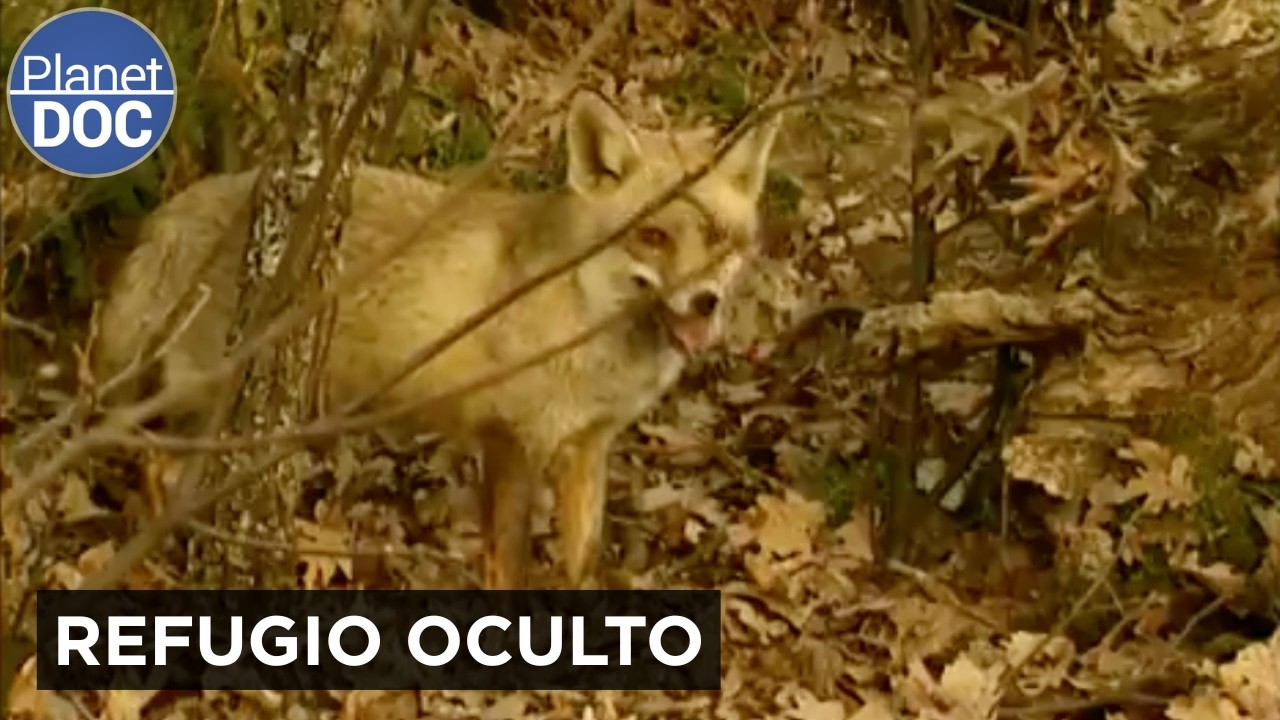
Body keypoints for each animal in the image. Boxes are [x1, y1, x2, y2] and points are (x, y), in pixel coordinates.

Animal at [94, 90, 781, 589]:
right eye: (653, 237)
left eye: (717, 236)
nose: (705, 301)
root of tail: (173, 210)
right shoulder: (511, 440)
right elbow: (508, 567)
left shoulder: (589, 445)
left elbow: (581, 563)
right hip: (209, 403)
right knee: (153, 463)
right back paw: (161, 559)